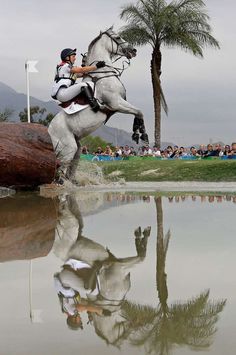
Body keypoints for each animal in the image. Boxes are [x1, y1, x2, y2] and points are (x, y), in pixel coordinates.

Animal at [48, 27, 148, 182]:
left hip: (76, 146)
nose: (133, 50)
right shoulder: (115, 103)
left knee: (71, 166)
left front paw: (137, 133)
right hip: (67, 148)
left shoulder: (118, 104)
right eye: (118, 38)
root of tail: (47, 132)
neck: (102, 74)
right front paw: (140, 134)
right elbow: (139, 111)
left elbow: (138, 112)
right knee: (60, 173)